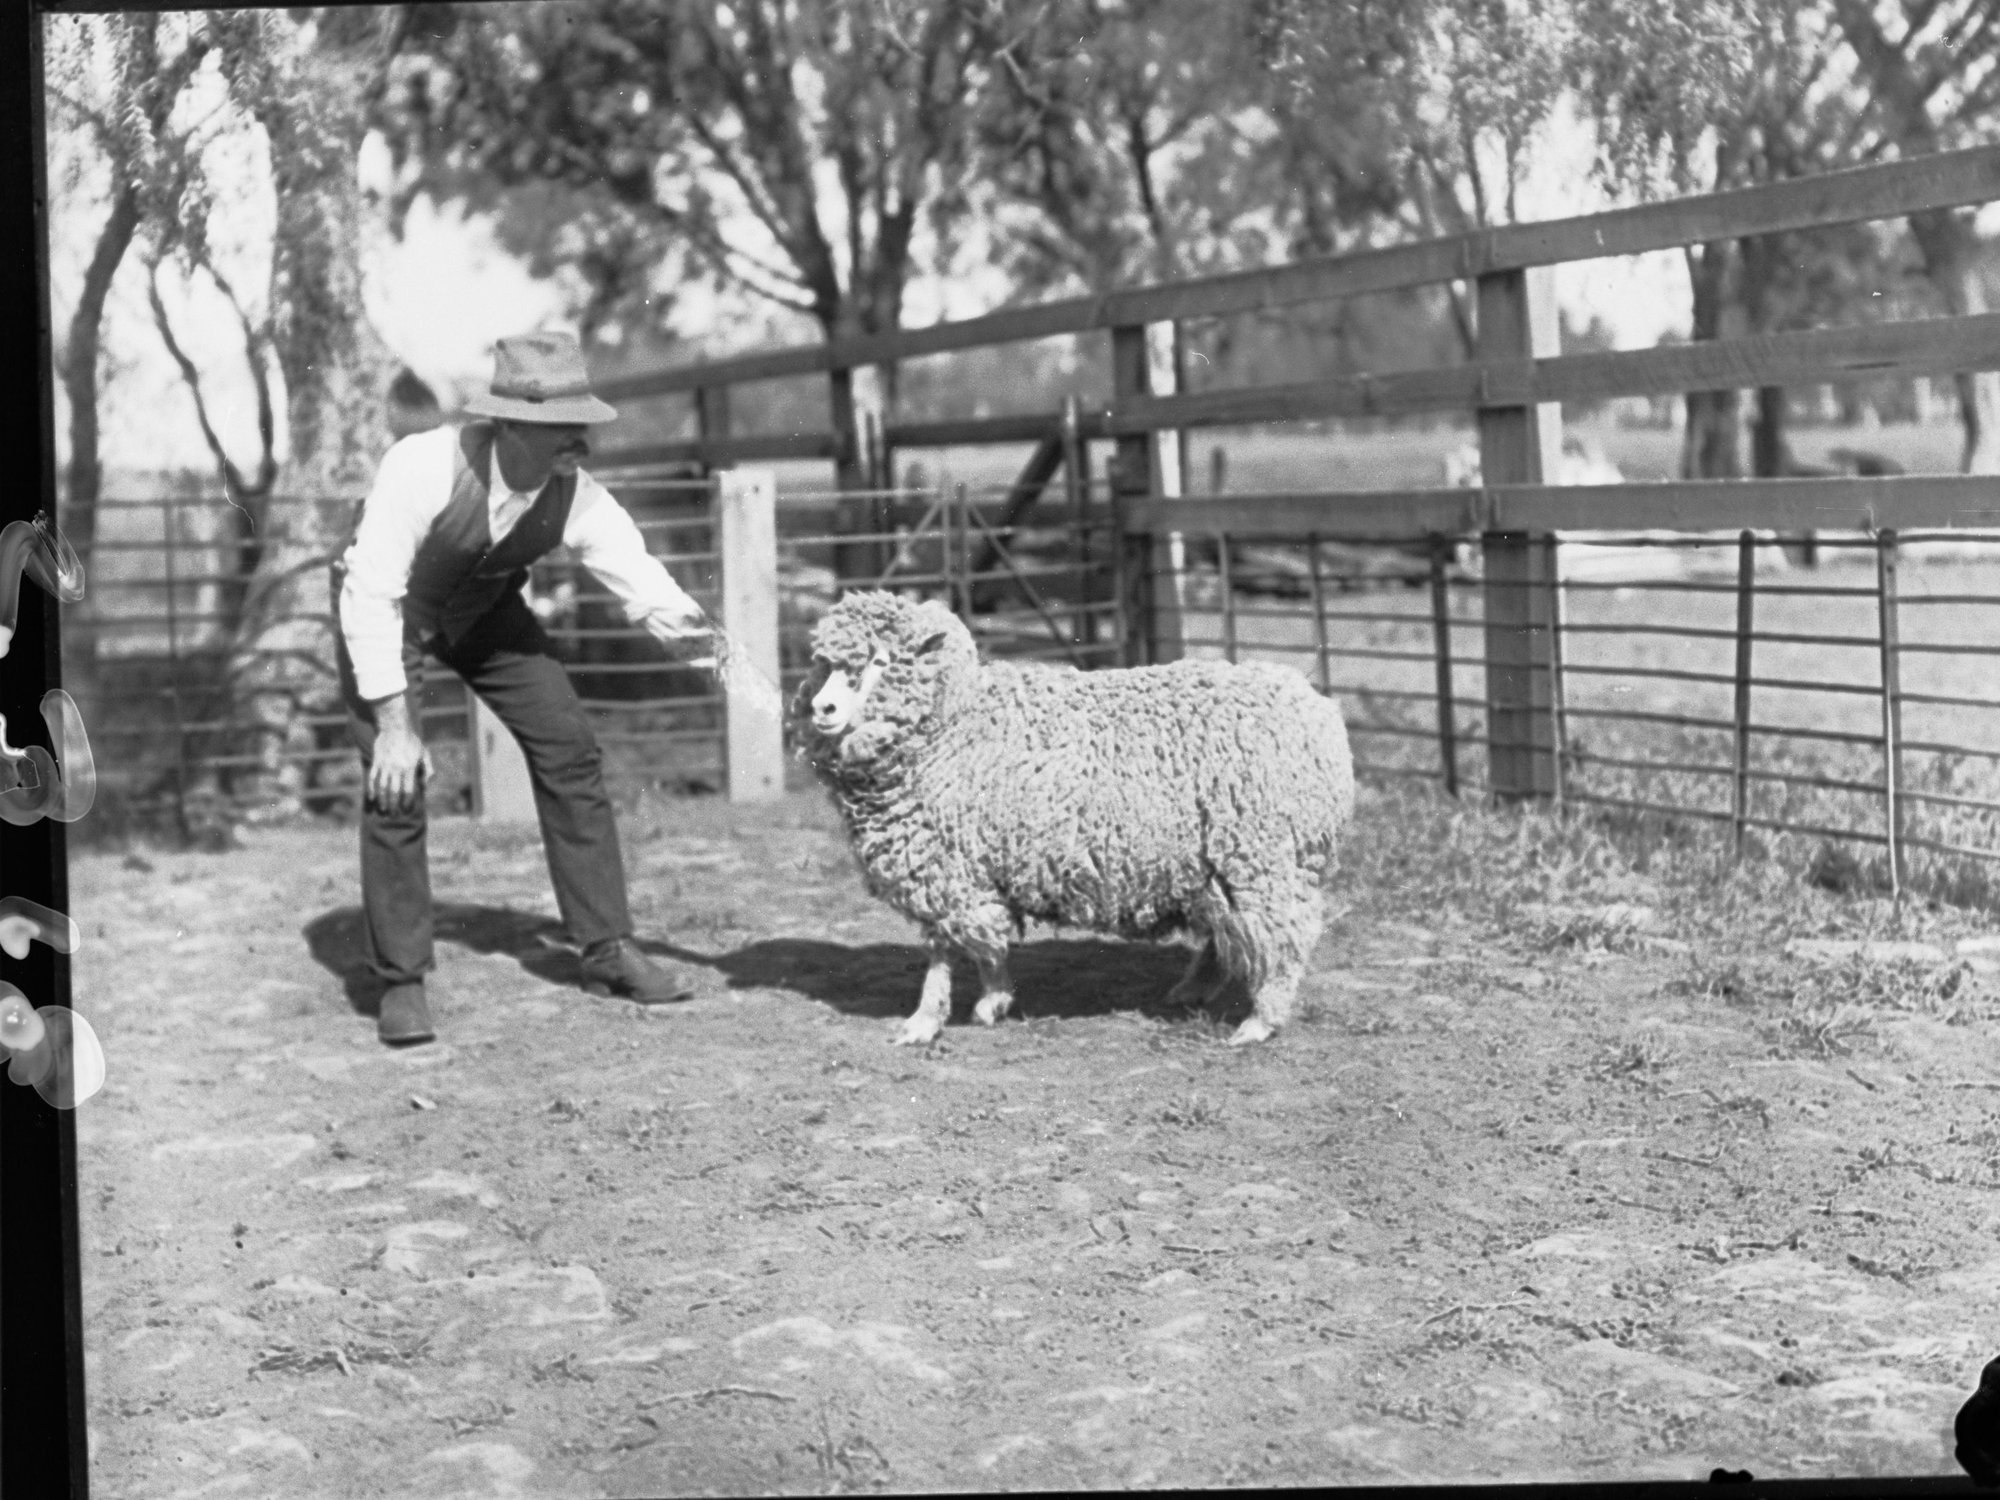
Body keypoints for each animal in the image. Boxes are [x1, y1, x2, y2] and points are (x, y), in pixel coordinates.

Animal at [790, 590, 1356, 1047]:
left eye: (882, 661)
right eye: (823, 664)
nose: (823, 708)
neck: (951, 723)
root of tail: (1314, 705)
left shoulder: (947, 866)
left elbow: (945, 951)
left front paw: (928, 1020)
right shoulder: (960, 869)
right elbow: (980, 941)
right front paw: (992, 1000)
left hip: (1264, 857)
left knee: (1282, 937)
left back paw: (1260, 1022)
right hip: (1217, 866)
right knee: (1228, 931)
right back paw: (1192, 990)